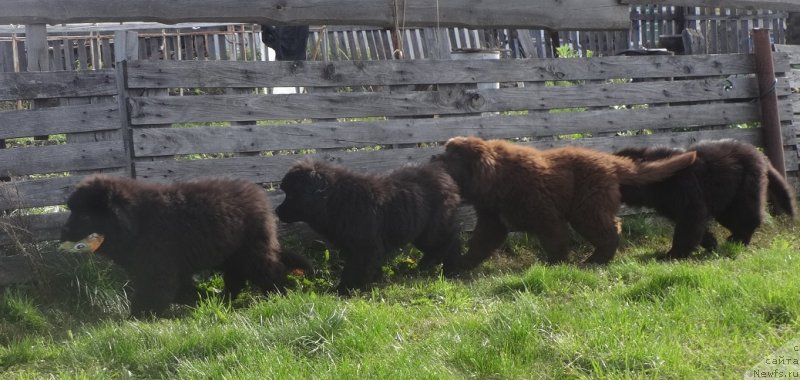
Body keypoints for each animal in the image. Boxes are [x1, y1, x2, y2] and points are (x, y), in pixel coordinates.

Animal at [276, 158, 460, 294]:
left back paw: (429, 267)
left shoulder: (364, 245)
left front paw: (343, 290)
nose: (277, 211)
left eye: (291, 195)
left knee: (447, 243)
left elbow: (355, 268)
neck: (335, 199)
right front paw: (373, 280)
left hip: (432, 230)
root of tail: (444, 176)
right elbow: (368, 266)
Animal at [432, 137, 692, 268]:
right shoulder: (492, 220)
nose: (433, 156)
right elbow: (480, 244)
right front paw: (461, 265)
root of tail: (609, 162)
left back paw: (595, 261)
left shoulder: (545, 214)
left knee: (610, 230)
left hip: (586, 208)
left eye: (453, 156)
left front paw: (556, 265)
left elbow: (554, 241)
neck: (498, 177)